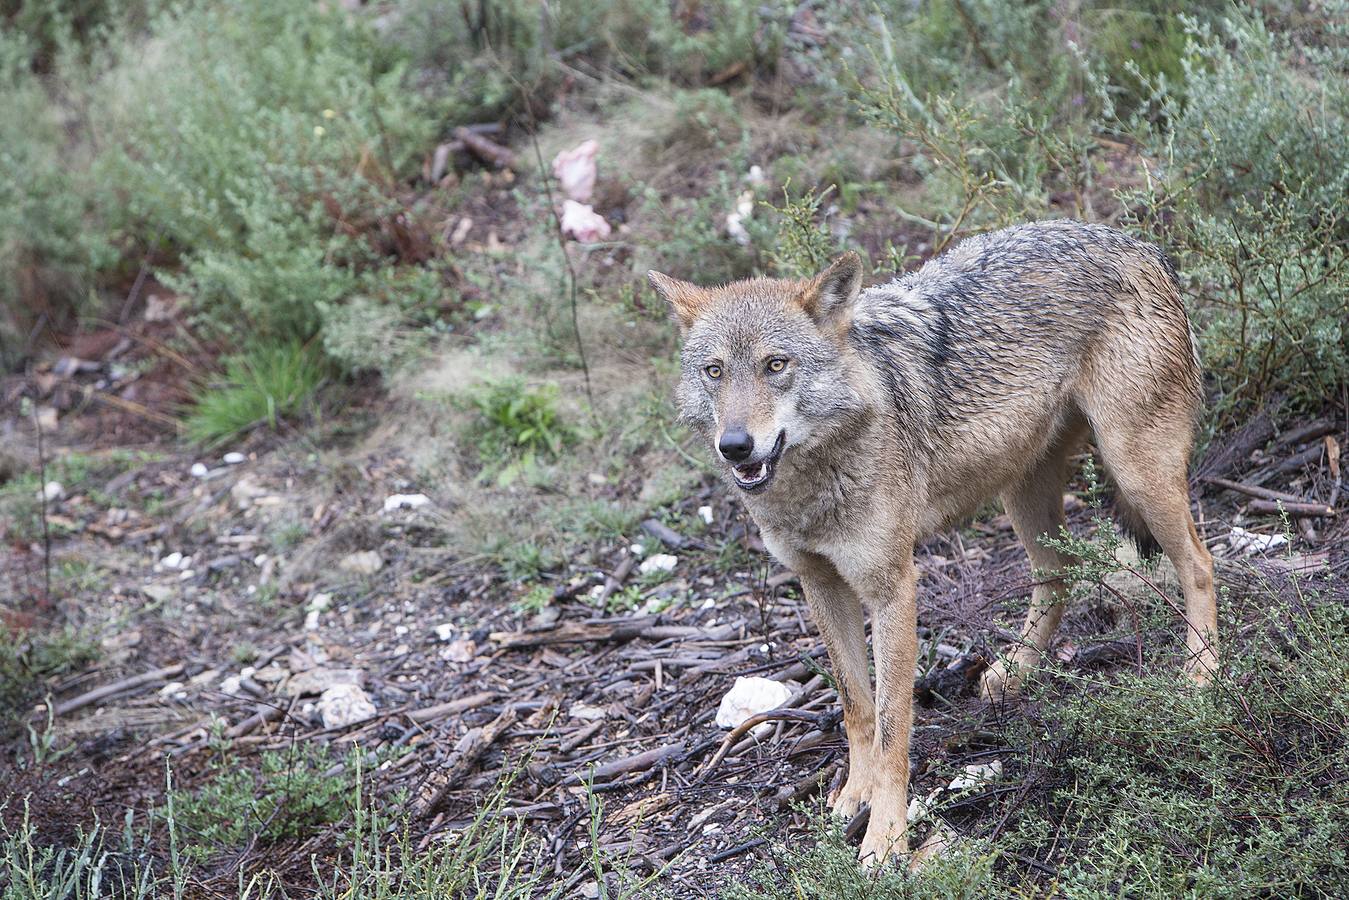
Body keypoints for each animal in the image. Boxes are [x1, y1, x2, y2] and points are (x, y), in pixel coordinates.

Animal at [647, 218, 1219, 863]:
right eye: (715, 371)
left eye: (776, 364)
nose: (736, 445)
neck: (814, 486)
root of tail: (1139, 243)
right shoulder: (820, 585)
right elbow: (856, 706)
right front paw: (856, 793)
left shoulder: (893, 588)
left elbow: (894, 723)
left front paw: (885, 837)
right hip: (1023, 496)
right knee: (1057, 576)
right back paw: (1015, 673)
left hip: (1135, 471)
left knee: (1200, 563)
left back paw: (1200, 678)